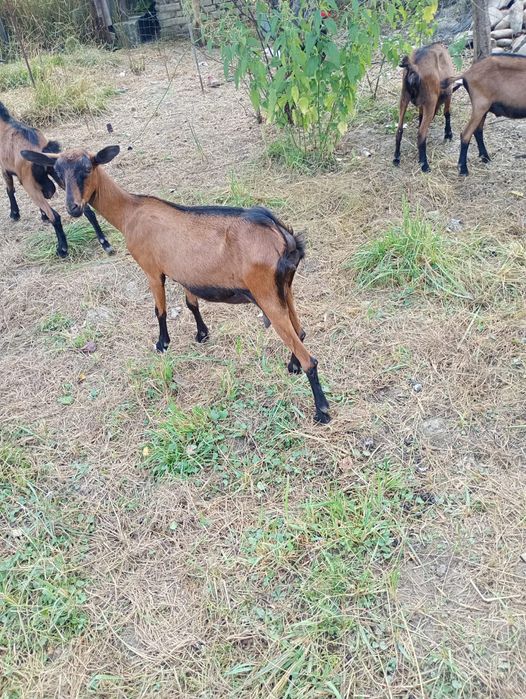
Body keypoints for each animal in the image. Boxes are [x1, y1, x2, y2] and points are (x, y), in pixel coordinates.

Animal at [0, 101, 112, 257]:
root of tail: (43, 149)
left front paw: (14, 214)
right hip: (64, 178)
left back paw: (62, 249)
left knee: (55, 216)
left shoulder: (5, 169)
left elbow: (10, 190)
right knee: (87, 210)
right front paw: (42, 216)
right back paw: (105, 243)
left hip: (30, 184)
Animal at [22, 145, 331, 424]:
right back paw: (291, 365)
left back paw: (322, 411)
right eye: (57, 173)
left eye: (87, 168)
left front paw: (162, 344)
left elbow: (159, 310)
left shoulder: (151, 269)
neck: (130, 212)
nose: (73, 208)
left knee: (309, 358)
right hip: (283, 288)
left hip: (265, 292)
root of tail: (281, 235)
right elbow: (190, 303)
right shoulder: (184, 272)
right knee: (299, 330)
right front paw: (202, 334)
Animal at [393, 43, 455, 172]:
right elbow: (447, 113)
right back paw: (424, 164)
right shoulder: (448, 92)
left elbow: (420, 115)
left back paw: (396, 157)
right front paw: (448, 134)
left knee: (399, 129)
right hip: (430, 101)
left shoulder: (421, 103)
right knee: (421, 134)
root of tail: (413, 66)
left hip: (403, 97)